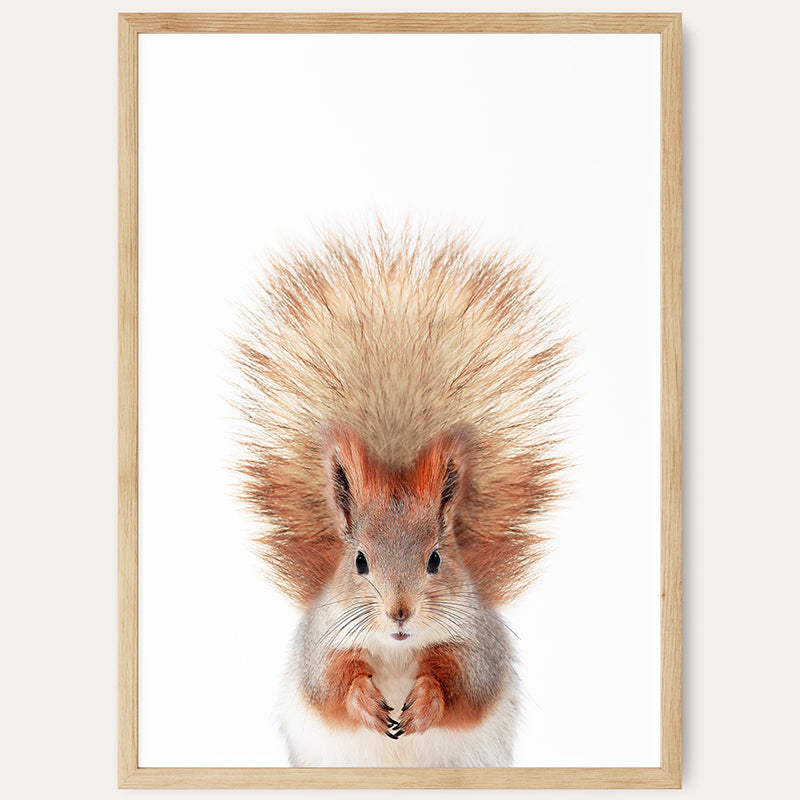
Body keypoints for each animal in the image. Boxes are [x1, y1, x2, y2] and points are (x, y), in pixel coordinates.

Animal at [231, 221, 571, 767]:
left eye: (435, 559)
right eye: (359, 562)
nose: (399, 611)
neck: (395, 648)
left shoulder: (478, 648)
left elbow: (462, 687)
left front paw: (427, 700)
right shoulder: (321, 646)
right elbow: (331, 686)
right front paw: (365, 701)